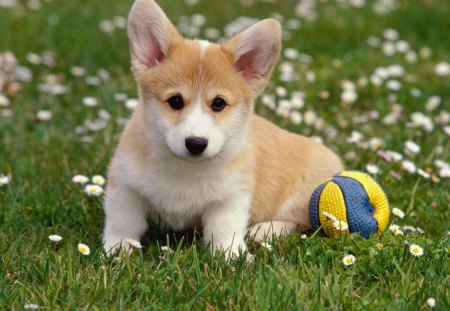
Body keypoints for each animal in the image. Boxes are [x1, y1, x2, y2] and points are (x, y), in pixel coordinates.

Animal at [102, 0, 342, 258]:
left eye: (218, 103)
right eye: (175, 101)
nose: (196, 144)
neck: (185, 169)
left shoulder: (231, 197)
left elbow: (225, 231)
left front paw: (233, 257)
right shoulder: (125, 186)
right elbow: (123, 223)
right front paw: (116, 252)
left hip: (308, 195)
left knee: (301, 221)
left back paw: (264, 231)